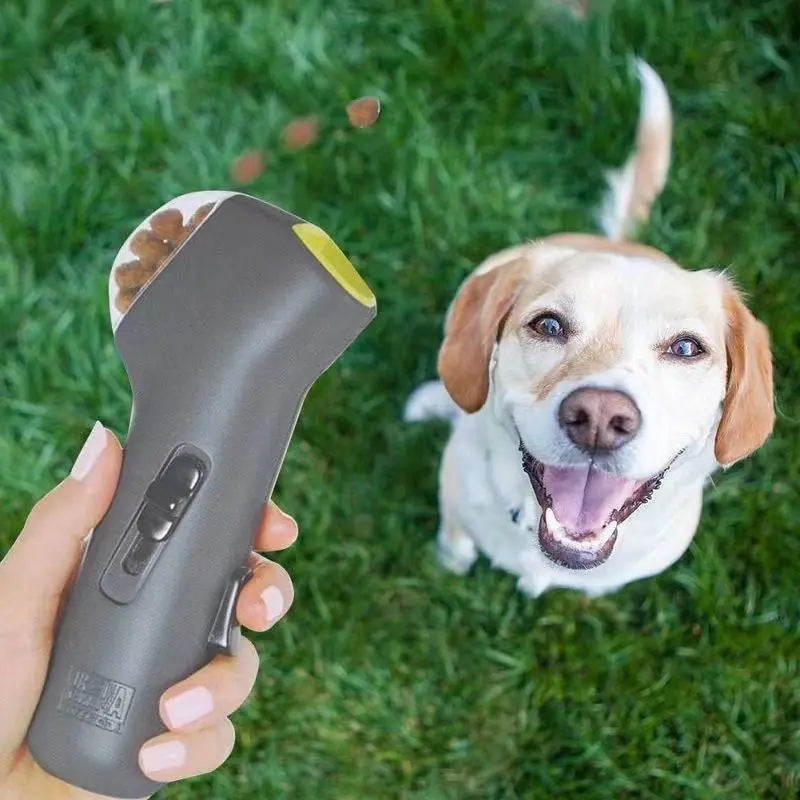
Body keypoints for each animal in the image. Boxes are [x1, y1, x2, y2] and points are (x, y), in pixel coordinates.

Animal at [406, 62, 776, 596]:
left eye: (686, 348)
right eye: (548, 324)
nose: (600, 418)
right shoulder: (456, 501)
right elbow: (454, 541)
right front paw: (449, 563)